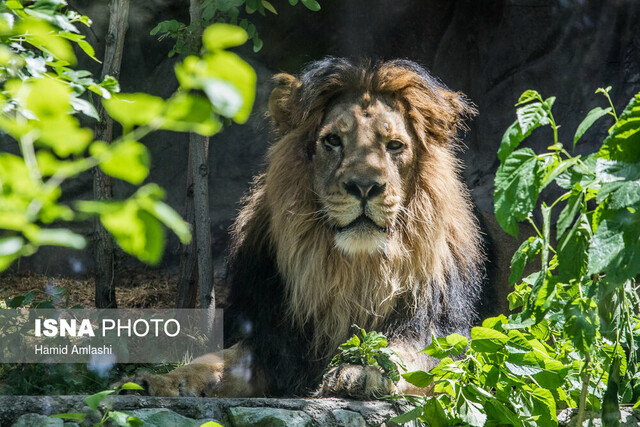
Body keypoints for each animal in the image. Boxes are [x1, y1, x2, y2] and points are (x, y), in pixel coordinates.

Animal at [125, 57, 482, 402]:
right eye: (332, 141)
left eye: (394, 145)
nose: (364, 187)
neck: (354, 271)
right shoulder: (268, 335)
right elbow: (210, 363)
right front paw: (155, 381)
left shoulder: (438, 331)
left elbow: (409, 357)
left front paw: (363, 370)